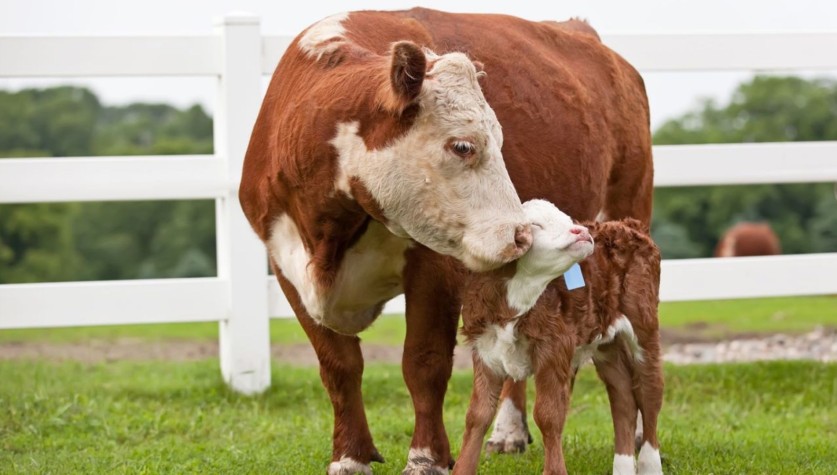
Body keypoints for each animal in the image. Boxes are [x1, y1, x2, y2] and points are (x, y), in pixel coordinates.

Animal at [457, 200, 663, 475]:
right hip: (607, 343)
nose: (581, 231)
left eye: (568, 219)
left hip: (644, 326)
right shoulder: (485, 349)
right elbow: (478, 415)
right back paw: (623, 468)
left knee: (650, 391)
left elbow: (549, 414)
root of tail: (626, 225)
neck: (515, 301)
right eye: (534, 224)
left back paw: (650, 464)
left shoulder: (554, 347)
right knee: (624, 398)